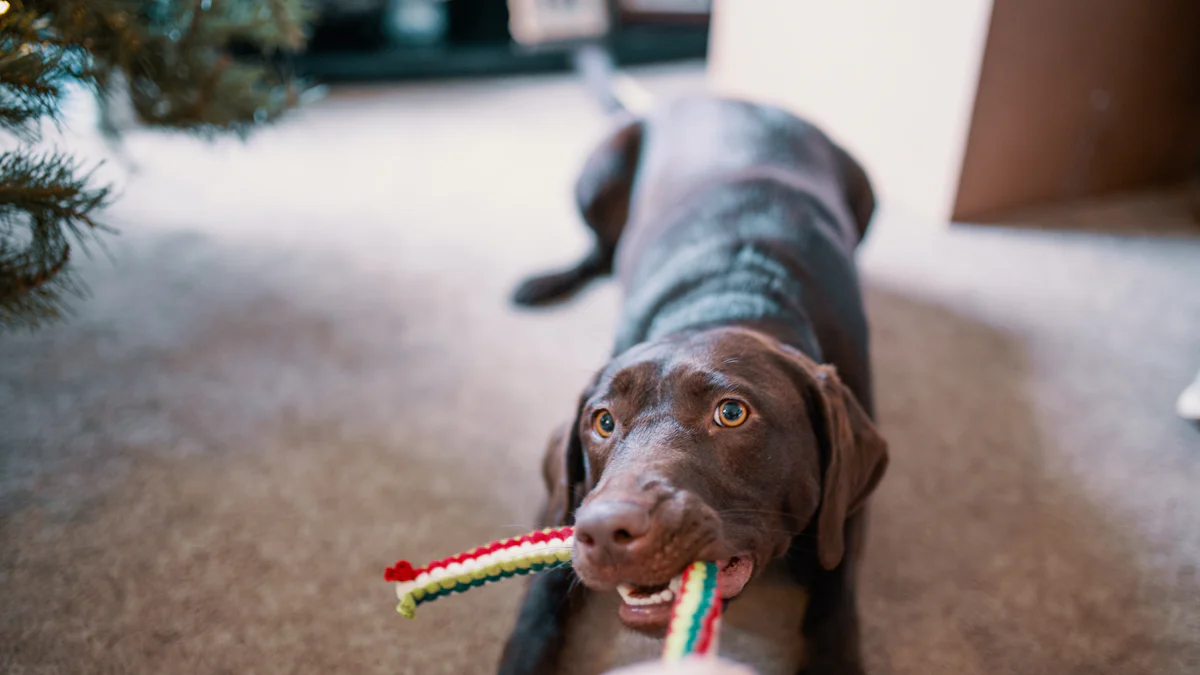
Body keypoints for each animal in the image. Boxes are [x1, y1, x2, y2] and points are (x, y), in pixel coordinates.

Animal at [499, 96, 892, 672]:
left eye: (731, 413)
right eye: (603, 421)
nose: (607, 531)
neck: (731, 296)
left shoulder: (845, 520)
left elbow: (834, 606)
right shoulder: (564, 504)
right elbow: (536, 606)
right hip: (599, 170)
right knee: (601, 251)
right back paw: (545, 281)